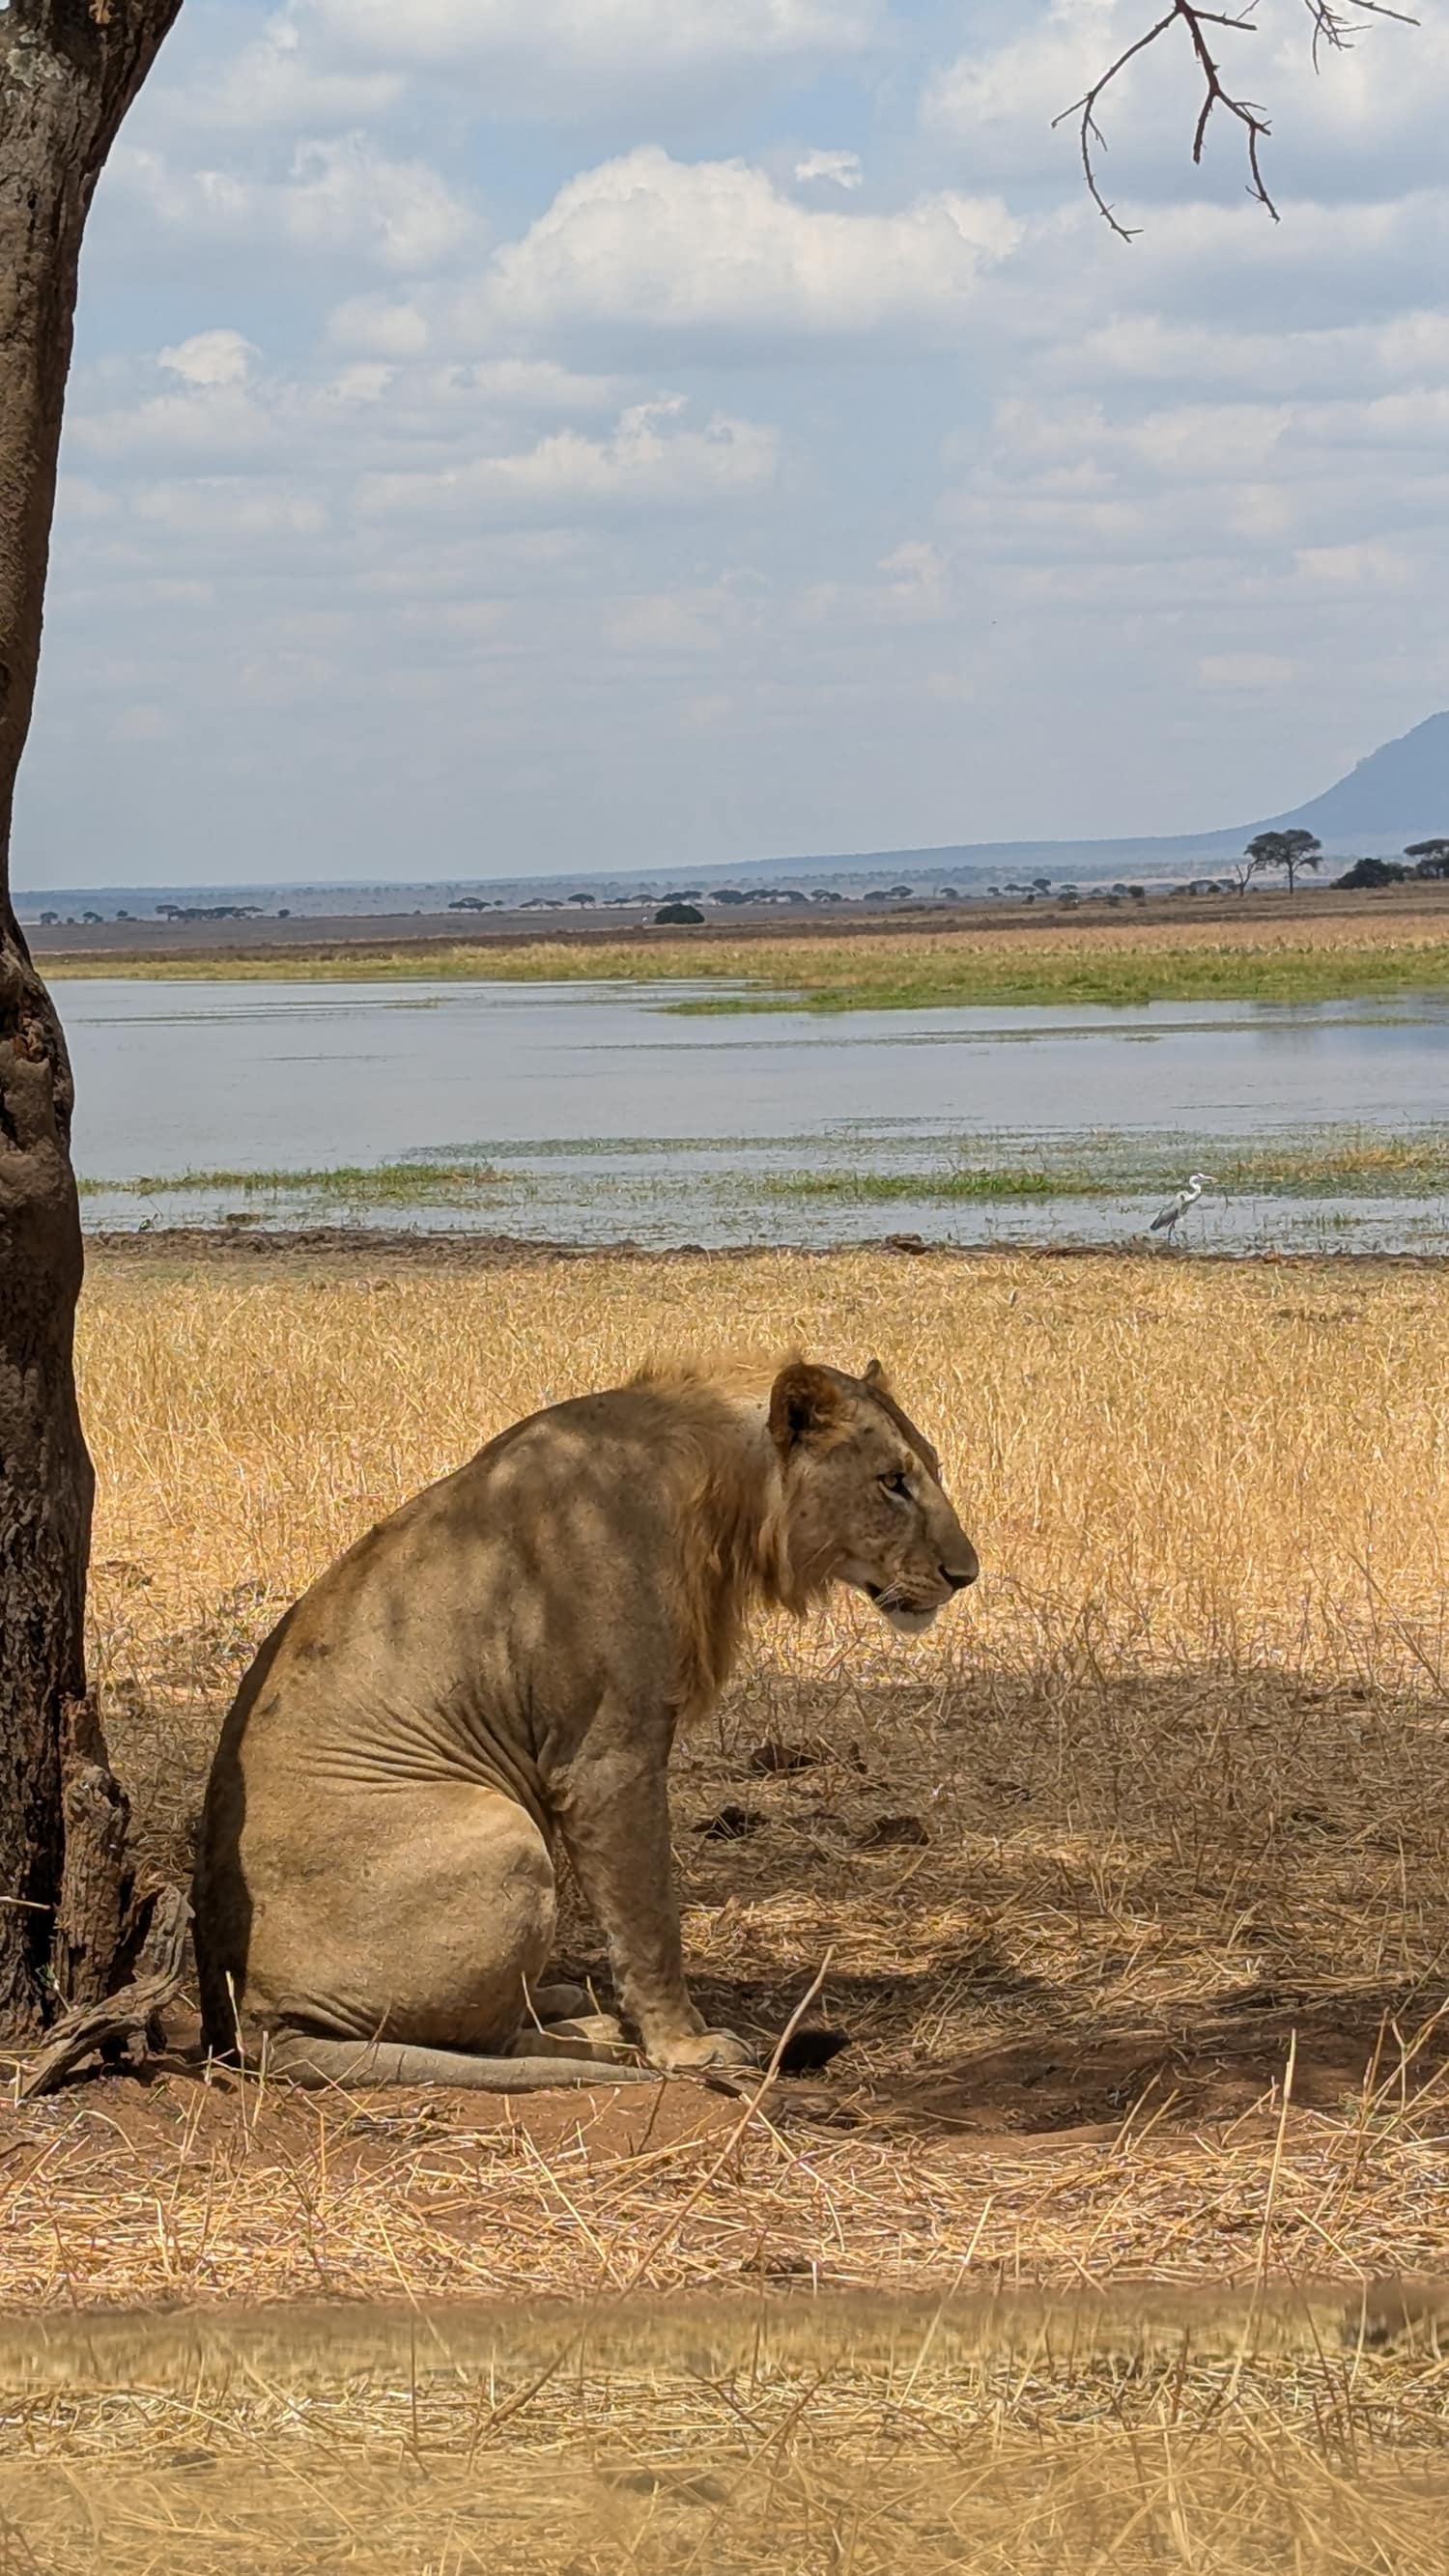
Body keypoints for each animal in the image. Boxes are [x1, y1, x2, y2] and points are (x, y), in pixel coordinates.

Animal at [192, 1355, 978, 2091]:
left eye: (932, 1471)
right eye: (892, 1481)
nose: (965, 1574)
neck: (726, 1498)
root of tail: (250, 2020)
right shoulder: (609, 1754)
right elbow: (649, 1914)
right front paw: (685, 2046)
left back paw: (564, 1997)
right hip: (502, 1830)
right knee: (487, 2040)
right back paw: (600, 2035)